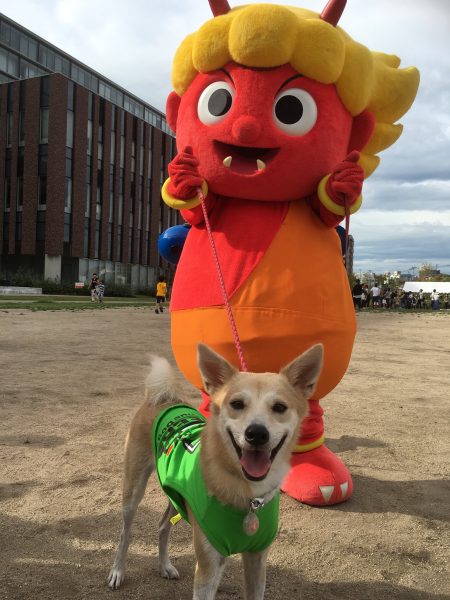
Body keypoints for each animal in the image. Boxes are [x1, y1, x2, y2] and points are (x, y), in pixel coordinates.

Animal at [108, 342, 323, 599]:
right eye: (237, 404)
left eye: (279, 407)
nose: (257, 433)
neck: (247, 496)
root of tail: (164, 399)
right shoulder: (208, 567)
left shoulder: (257, 560)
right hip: (132, 492)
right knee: (125, 534)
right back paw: (117, 571)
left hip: (176, 497)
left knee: (162, 526)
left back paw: (165, 566)